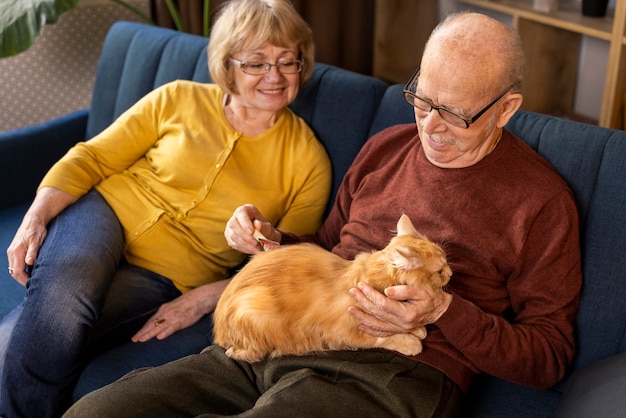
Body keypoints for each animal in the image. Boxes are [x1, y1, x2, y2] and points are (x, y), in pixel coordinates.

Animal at [213, 214, 448, 360]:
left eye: (446, 260)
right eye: (439, 271)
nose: (450, 273)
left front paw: (417, 328)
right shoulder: (347, 333)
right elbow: (386, 337)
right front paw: (411, 341)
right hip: (253, 312)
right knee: (250, 353)